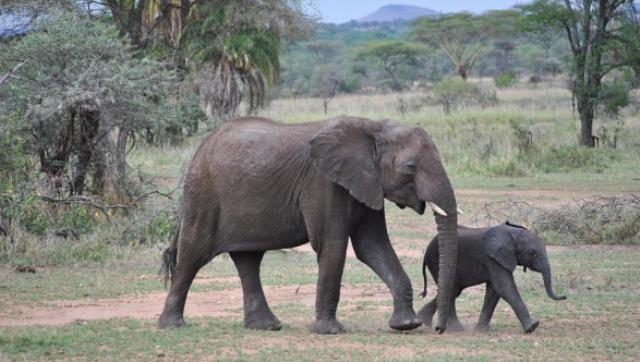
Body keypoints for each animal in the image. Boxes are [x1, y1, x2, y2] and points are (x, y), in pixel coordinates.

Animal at [160, 116, 460, 334]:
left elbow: (372, 246)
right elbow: (333, 245)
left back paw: (266, 326)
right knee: (192, 255)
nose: (439, 330)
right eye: (411, 167)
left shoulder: (366, 183)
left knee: (248, 260)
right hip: (204, 193)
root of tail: (201, 147)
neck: (373, 126)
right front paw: (330, 331)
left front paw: (406, 325)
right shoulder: (323, 183)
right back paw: (172, 325)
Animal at [420, 221, 564, 334]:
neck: (512, 234)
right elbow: (504, 287)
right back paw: (453, 329)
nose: (564, 296)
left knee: (453, 290)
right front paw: (532, 327)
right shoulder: (491, 257)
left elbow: (494, 291)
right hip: (436, 260)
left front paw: (482, 330)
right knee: (452, 290)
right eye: (531, 252)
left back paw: (426, 322)